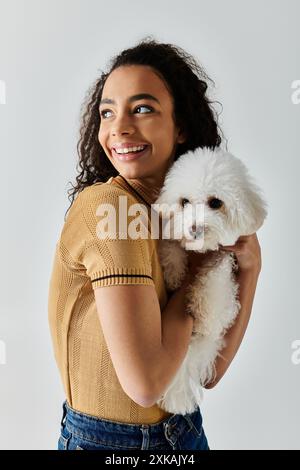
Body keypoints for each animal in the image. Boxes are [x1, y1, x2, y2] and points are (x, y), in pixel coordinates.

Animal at [155, 148, 268, 414]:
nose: (194, 228)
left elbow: (213, 281)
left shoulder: (225, 257)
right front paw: (174, 273)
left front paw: (204, 316)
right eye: (184, 202)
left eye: (216, 202)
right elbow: (172, 246)